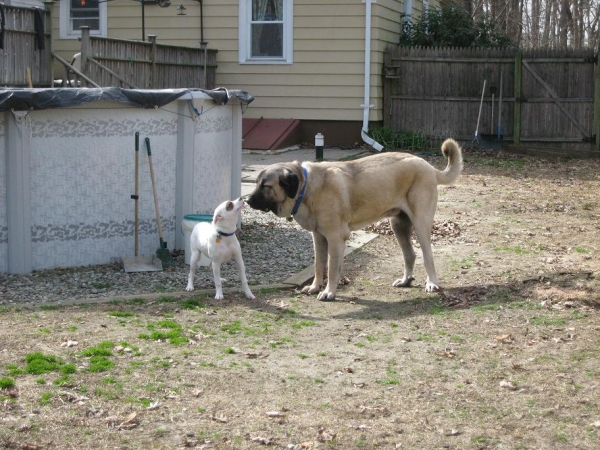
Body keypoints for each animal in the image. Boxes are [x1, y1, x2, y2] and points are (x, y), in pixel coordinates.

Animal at [246, 139, 462, 300]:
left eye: (265, 186)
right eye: (256, 183)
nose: (247, 200)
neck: (305, 187)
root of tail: (428, 165)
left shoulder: (335, 238)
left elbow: (332, 268)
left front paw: (329, 292)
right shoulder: (319, 237)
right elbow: (319, 265)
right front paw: (315, 287)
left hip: (420, 223)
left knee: (427, 256)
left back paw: (432, 283)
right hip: (398, 225)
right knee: (410, 255)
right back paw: (405, 280)